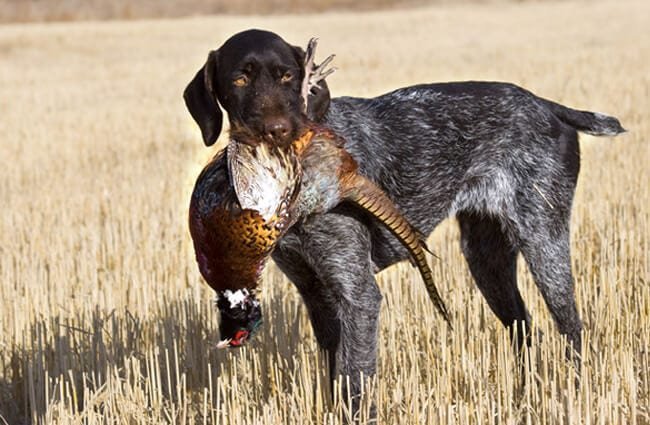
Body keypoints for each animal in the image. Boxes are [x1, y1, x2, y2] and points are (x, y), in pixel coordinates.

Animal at [181, 29, 624, 414]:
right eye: (240, 78)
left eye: (287, 75)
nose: (278, 131)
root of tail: (548, 105)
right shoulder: (316, 293)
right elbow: (335, 373)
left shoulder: (357, 294)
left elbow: (355, 379)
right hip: (487, 260)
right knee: (525, 330)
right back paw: (526, 393)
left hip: (544, 242)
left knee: (572, 329)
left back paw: (574, 392)